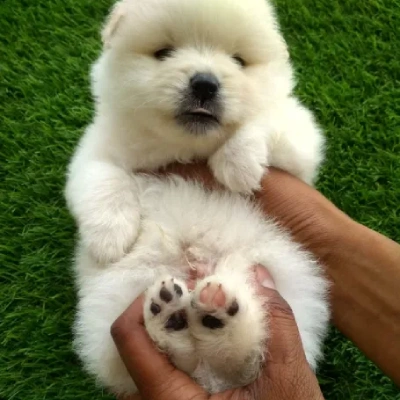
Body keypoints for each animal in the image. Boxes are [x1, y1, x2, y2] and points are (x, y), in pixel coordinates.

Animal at [65, 0, 328, 396]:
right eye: (163, 52)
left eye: (238, 60)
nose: (205, 82)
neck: (188, 147)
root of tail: (209, 377)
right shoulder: (98, 145)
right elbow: (102, 178)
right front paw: (109, 238)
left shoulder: (300, 146)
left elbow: (265, 119)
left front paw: (237, 164)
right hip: (113, 305)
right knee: (169, 357)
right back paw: (172, 318)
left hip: (285, 290)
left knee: (245, 354)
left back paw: (217, 316)